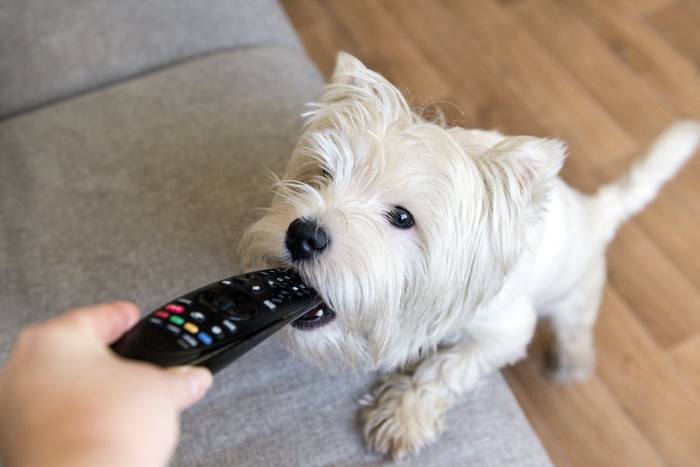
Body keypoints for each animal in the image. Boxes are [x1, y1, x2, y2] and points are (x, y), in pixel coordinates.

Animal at [241, 53, 700, 458]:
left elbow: (449, 368)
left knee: (576, 331)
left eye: (402, 217)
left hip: (575, 295)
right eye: (323, 173)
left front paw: (401, 416)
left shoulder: (507, 330)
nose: (303, 236)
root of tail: (593, 210)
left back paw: (570, 365)